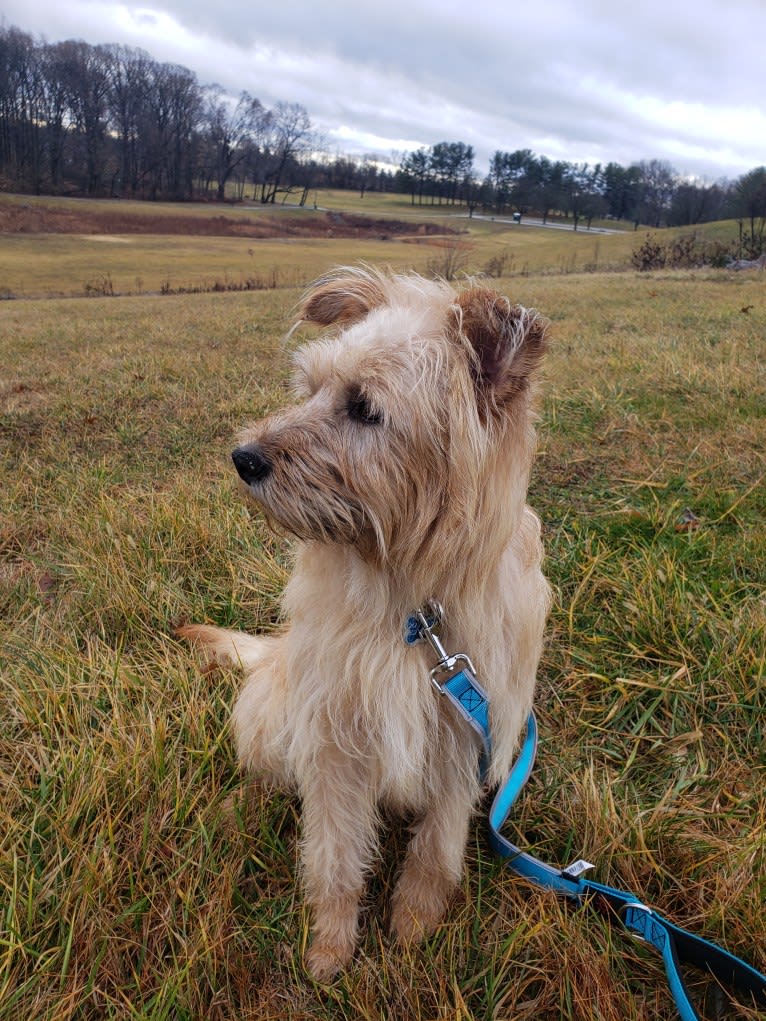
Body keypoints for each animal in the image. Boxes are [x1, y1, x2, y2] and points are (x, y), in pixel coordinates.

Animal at [179, 267, 551, 976]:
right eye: (311, 388)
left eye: (364, 409)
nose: (243, 457)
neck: (411, 604)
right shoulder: (335, 737)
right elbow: (333, 854)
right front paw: (330, 946)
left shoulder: (464, 736)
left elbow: (436, 846)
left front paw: (414, 921)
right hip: (276, 707)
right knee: (263, 766)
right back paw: (240, 806)